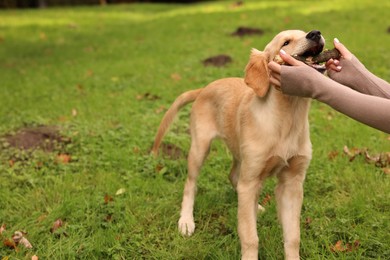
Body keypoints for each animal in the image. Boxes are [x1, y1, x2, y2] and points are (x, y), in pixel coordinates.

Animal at [152, 29, 326, 258]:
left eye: (305, 32)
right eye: (285, 42)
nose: (315, 34)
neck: (287, 118)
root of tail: (204, 89)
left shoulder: (292, 182)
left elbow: (293, 237)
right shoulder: (251, 179)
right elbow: (250, 236)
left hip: (240, 154)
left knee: (233, 177)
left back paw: (255, 207)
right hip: (200, 148)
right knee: (190, 185)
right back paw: (186, 221)